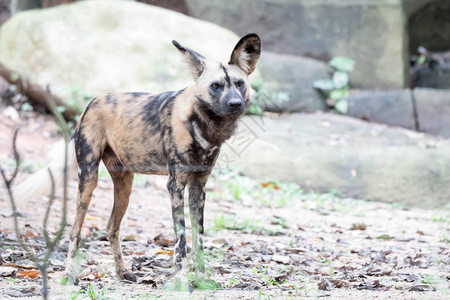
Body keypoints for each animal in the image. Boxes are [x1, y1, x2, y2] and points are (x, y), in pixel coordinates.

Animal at [13, 34, 260, 284]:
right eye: (215, 86)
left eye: (240, 84)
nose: (235, 104)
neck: (204, 124)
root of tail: (91, 102)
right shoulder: (175, 185)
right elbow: (181, 239)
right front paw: (181, 279)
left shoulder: (198, 187)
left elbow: (198, 237)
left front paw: (201, 279)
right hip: (89, 179)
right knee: (75, 230)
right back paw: (69, 274)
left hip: (125, 184)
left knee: (111, 226)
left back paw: (122, 272)